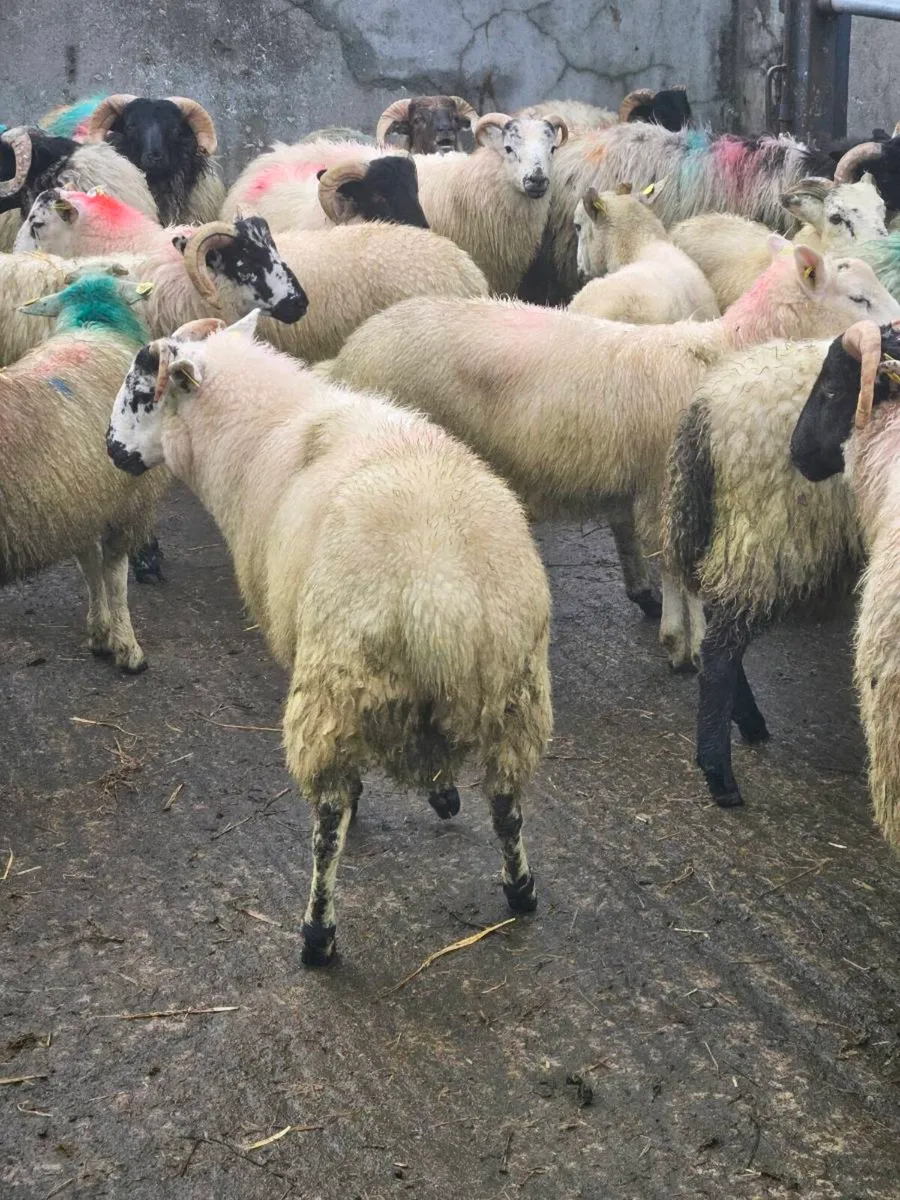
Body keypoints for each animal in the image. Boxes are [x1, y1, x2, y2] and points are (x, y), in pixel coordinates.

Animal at [1, 272, 168, 671]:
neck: (94, 325)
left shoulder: (80, 501)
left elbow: (90, 567)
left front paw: (100, 633)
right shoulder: (127, 505)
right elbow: (115, 576)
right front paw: (128, 648)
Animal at [106, 310, 552, 965]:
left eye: (141, 392)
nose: (111, 450)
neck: (261, 432)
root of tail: (440, 598)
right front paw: (444, 795)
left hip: (334, 689)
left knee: (328, 819)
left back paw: (318, 934)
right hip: (515, 693)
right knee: (506, 804)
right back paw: (520, 889)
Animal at [324, 246, 900, 666]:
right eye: (858, 298)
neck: (720, 352)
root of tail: (354, 348)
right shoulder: (666, 482)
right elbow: (676, 564)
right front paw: (683, 643)